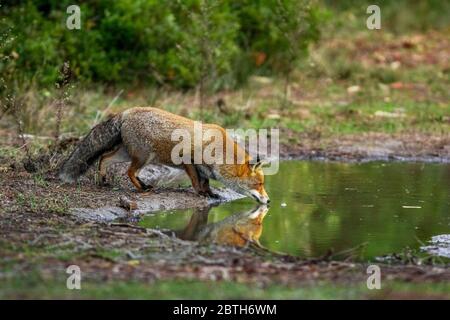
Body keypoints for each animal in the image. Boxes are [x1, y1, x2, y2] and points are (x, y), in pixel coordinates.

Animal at [59, 106, 270, 204]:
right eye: (259, 184)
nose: (269, 201)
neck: (218, 150)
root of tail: (128, 111)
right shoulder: (188, 161)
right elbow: (196, 182)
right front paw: (201, 194)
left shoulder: (204, 170)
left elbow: (206, 182)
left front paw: (210, 194)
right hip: (143, 157)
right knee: (129, 172)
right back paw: (142, 188)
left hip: (126, 154)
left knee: (104, 158)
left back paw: (104, 180)